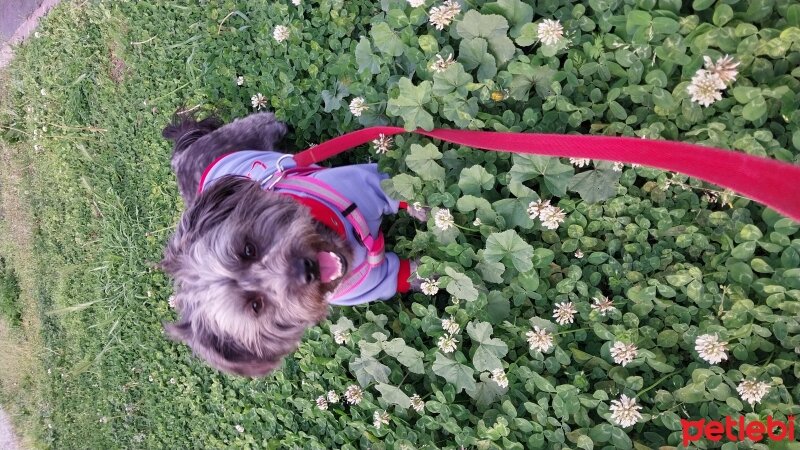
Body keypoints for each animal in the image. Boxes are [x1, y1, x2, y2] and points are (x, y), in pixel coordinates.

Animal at [159, 111, 428, 376]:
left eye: (248, 249)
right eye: (256, 305)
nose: (306, 269)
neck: (340, 236)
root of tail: (183, 155)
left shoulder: (364, 183)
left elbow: (397, 189)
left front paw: (423, 208)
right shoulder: (372, 282)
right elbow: (405, 274)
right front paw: (427, 276)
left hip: (251, 131)